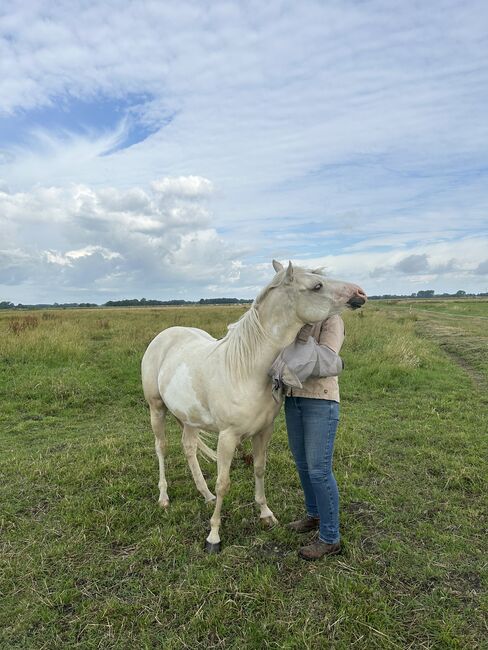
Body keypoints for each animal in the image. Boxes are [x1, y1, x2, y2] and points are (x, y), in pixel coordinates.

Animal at [141, 256, 366, 548]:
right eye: (317, 285)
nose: (359, 293)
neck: (245, 370)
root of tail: (164, 336)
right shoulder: (228, 436)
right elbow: (223, 482)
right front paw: (214, 535)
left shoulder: (263, 431)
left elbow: (259, 469)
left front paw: (266, 514)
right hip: (156, 409)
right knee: (162, 448)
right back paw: (164, 498)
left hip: (189, 417)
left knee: (189, 449)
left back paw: (205, 495)